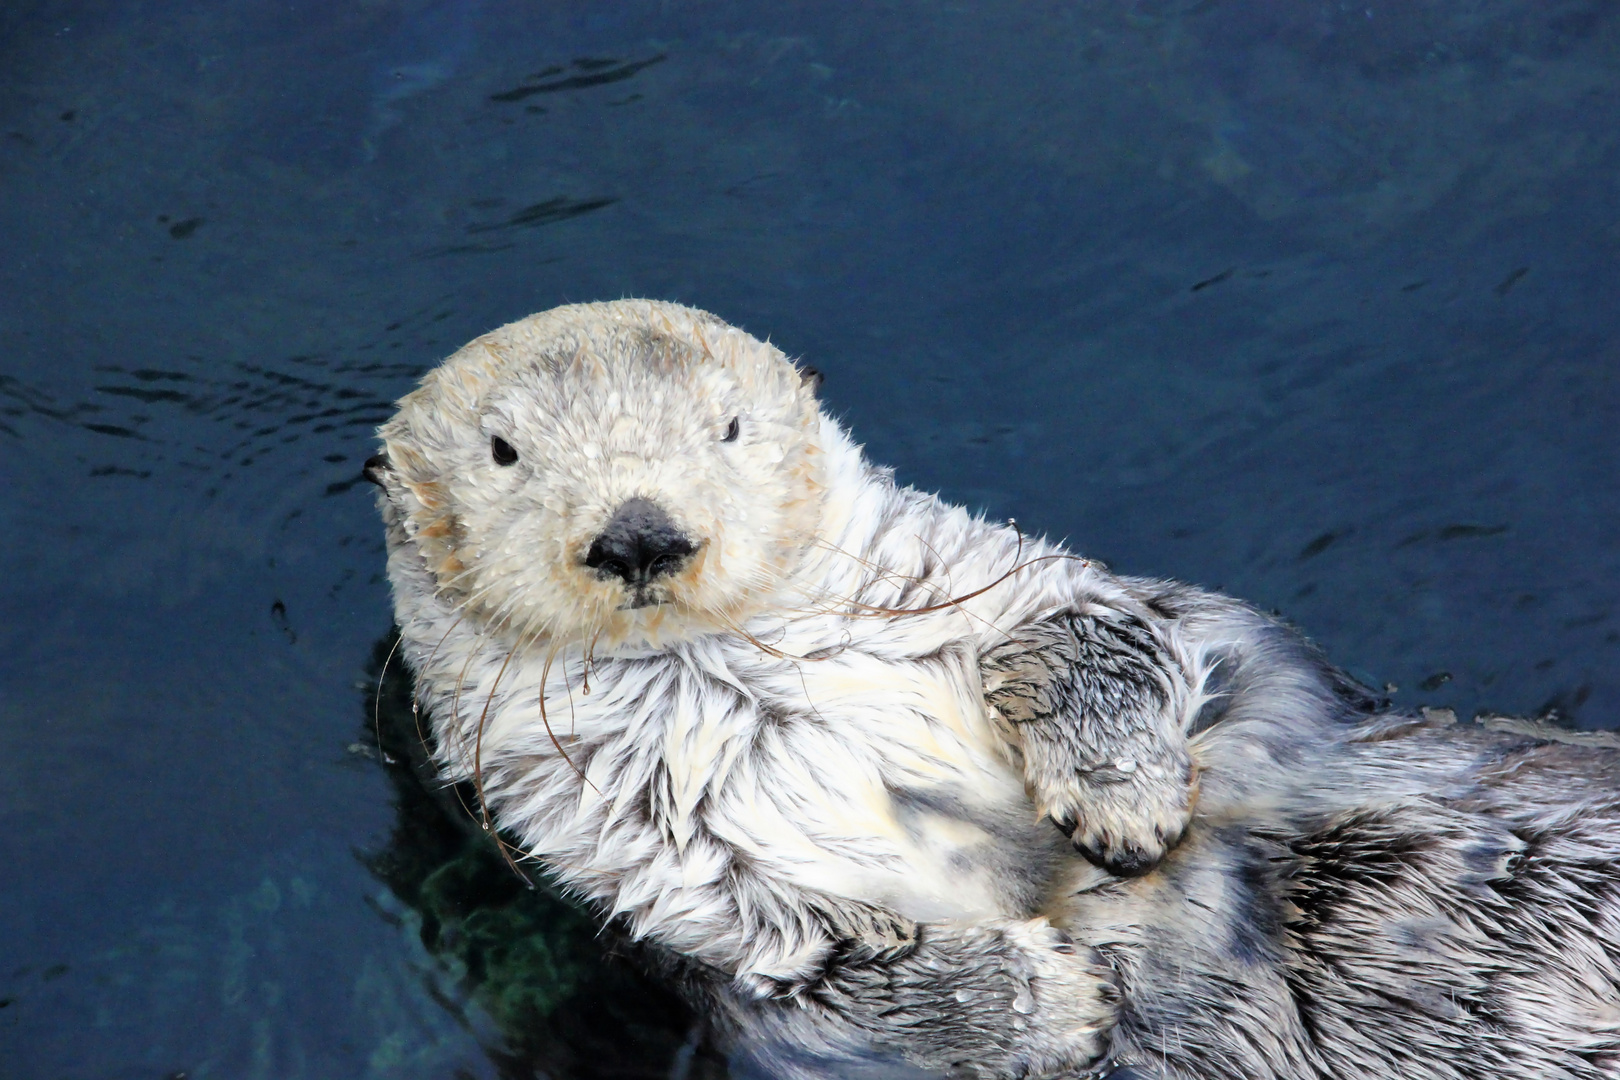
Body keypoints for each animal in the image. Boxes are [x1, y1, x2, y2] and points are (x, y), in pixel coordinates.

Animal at [367, 299, 1620, 1080]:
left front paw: (1123, 802)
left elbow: (1108, 633)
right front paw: (1051, 1002)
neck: (734, 671)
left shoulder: (984, 580)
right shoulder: (639, 857)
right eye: (504, 452)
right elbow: (819, 967)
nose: (639, 534)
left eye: (728, 426)